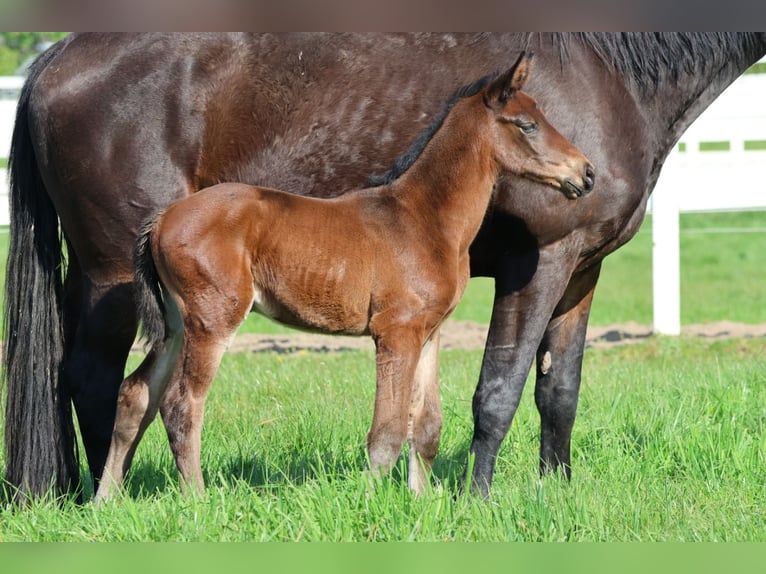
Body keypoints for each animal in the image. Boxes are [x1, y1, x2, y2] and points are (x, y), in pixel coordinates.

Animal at [96, 54, 596, 504]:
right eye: (526, 125)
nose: (586, 173)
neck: (424, 219)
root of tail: (162, 219)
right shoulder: (395, 332)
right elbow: (387, 432)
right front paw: (374, 508)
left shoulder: (430, 332)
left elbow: (426, 426)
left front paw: (421, 505)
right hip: (213, 321)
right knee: (181, 403)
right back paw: (198, 502)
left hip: (178, 325)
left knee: (136, 393)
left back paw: (106, 500)